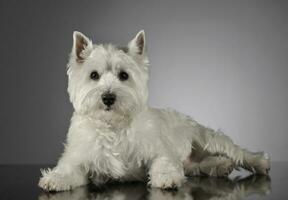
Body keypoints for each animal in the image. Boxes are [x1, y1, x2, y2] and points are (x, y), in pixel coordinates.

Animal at [38, 29, 270, 191]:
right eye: (94, 75)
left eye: (124, 75)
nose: (108, 97)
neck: (114, 126)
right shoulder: (79, 156)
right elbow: (68, 169)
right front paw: (55, 179)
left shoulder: (159, 149)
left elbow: (163, 161)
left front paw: (166, 177)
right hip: (196, 161)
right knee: (201, 164)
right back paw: (221, 165)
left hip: (207, 138)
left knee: (238, 152)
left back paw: (258, 162)